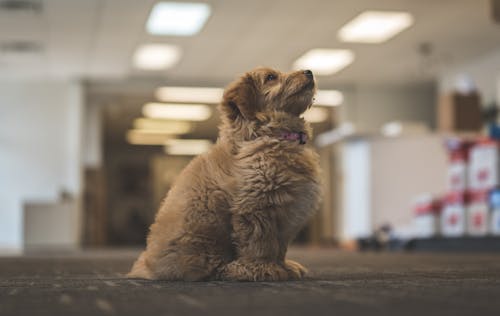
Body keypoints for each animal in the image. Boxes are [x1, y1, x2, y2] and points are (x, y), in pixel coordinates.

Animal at [127, 67, 322, 282]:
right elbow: (260, 244)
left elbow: (280, 246)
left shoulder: (285, 214)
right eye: (271, 77)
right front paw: (264, 269)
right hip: (205, 243)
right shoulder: (255, 207)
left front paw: (283, 265)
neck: (266, 134)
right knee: (214, 268)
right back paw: (236, 270)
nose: (309, 71)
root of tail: (145, 268)